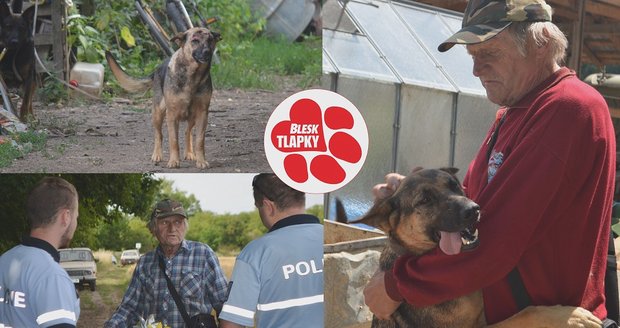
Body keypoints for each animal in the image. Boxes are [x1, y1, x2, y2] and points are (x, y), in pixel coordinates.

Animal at [106, 26, 220, 168]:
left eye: (210, 40)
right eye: (195, 41)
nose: (207, 52)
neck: (193, 76)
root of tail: (157, 69)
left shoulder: (202, 113)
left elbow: (199, 140)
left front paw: (201, 161)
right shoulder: (171, 115)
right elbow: (173, 140)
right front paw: (174, 161)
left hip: (192, 117)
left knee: (187, 132)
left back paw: (189, 153)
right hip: (158, 113)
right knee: (158, 135)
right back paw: (157, 155)